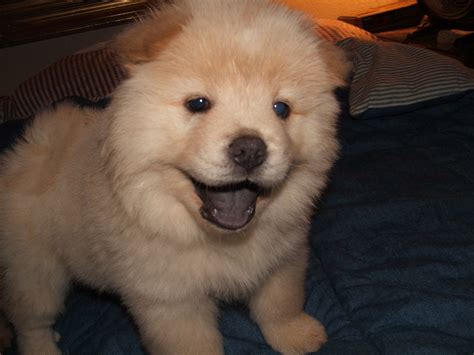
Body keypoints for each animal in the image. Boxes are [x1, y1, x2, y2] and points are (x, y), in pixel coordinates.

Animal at [0, 0, 348, 355]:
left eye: (282, 109)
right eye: (197, 103)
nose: (250, 149)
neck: (220, 239)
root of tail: (30, 153)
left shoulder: (283, 259)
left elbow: (280, 303)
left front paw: (298, 336)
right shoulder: (172, 302)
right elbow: (194, 344)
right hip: (36, 271)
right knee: (30, 323)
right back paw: (43, 348)